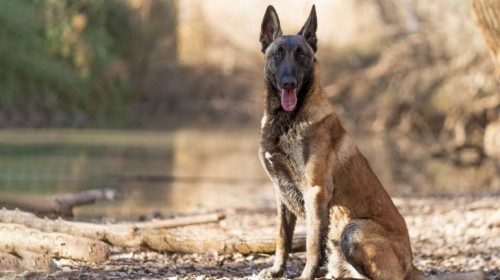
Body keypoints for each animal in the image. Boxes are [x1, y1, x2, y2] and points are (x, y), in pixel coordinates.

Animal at [258, 4, 484, 280]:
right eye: (278, 54)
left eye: (302, 55)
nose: (289, 83)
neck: (286, 120)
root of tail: (411, 264)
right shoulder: (281, 193)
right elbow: (283, 238)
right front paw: (276, 270)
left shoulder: (316, 191)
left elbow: (311, 243)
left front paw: (306, 275)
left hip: (354, 228)